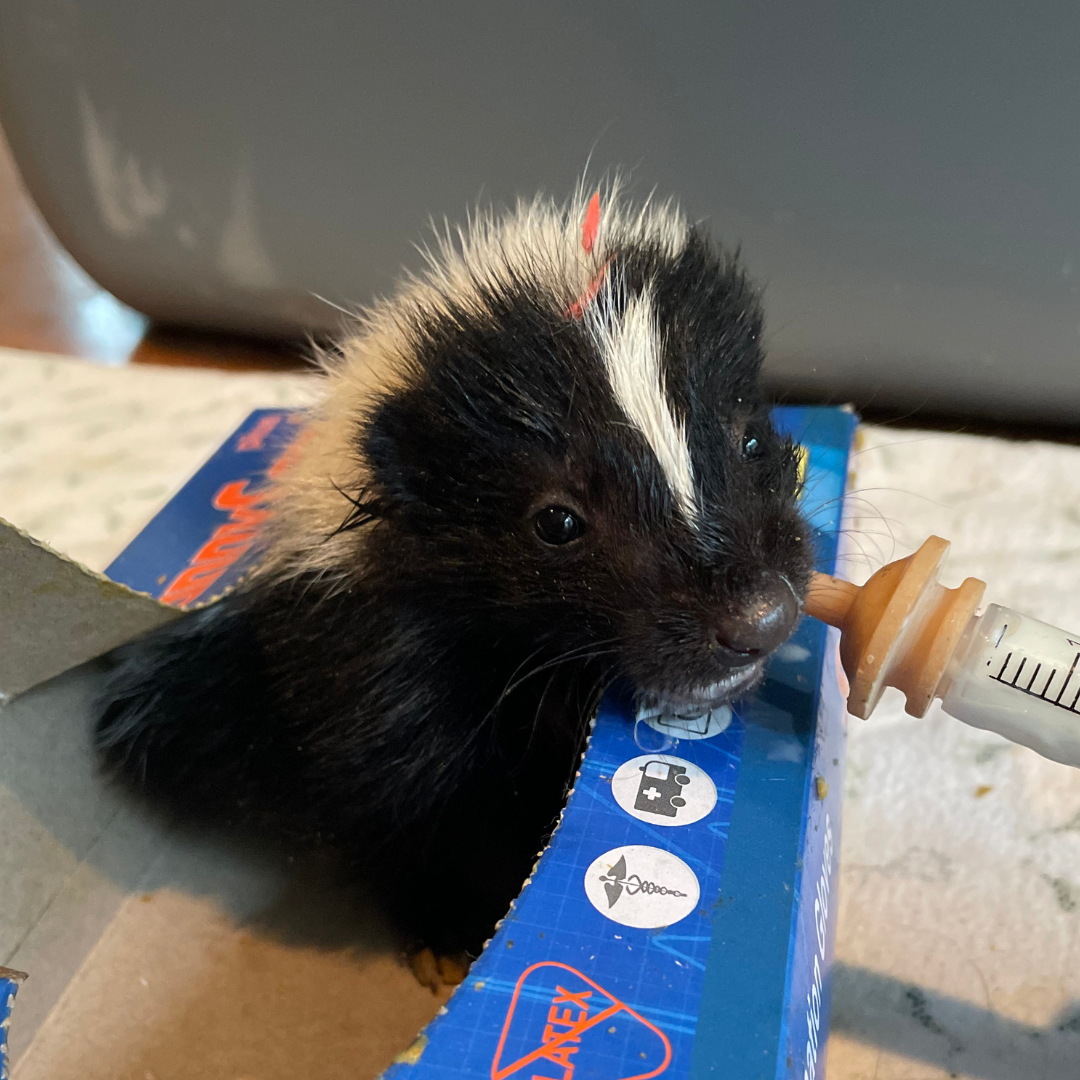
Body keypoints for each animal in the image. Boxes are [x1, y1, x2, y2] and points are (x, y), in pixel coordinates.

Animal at [99, 185, 812, 954]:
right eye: (557, 522)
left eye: (749, 441)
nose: (760, 616)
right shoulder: (378, 668)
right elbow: (410, 804)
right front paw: (456, 934)